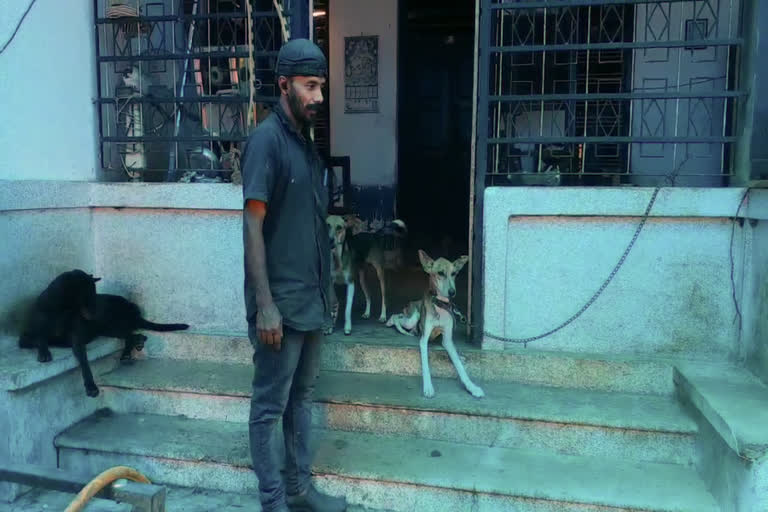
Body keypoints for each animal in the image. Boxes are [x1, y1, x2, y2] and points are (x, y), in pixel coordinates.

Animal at [388, 251, 484, 400]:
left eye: (454, 273)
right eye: (440, 273)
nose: (452, 292)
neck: (440, 305)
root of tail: (413, 302)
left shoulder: (447, 340)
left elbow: (459, 364)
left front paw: (472, 387)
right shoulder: (424, 340)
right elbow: (425, 364)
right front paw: (428, 387)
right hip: (412, 318)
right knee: (396, 316)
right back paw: (390, 322)